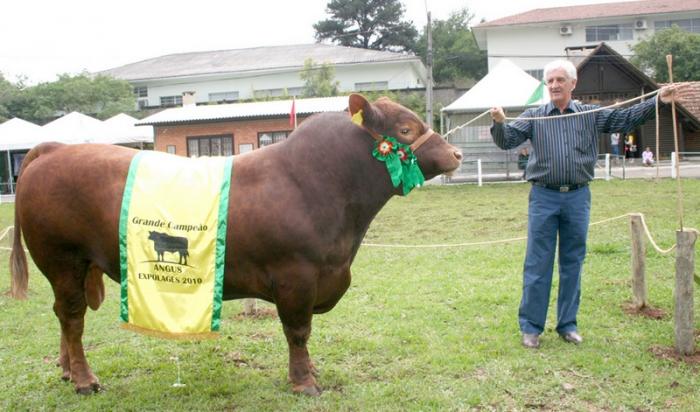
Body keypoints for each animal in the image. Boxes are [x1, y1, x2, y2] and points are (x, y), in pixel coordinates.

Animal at [10, 93, 464, 396]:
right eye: (405, 129)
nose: (457, 153)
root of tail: (55, 150)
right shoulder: (296, 277)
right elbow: (298, 332)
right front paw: (304, 382)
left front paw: (311, 374)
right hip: (62, 259)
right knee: (72, 318)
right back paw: (84, 380)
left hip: (76, 266)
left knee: (64, 316)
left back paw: (67, 370)